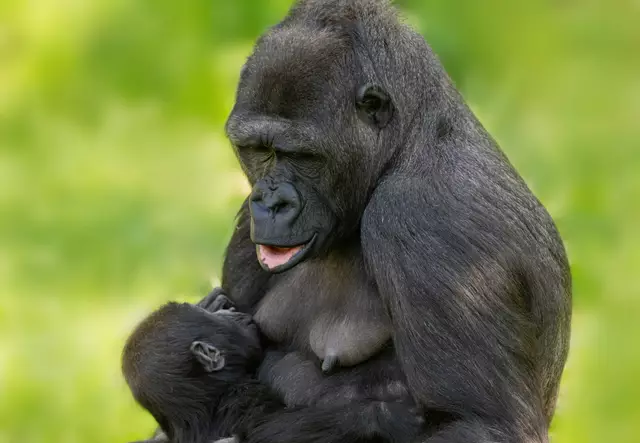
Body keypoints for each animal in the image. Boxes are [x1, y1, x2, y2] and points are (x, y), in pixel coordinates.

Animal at [205, 0, 573, 442]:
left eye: (302, 156)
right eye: (257, 150)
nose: (270, 203)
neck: (411, 140)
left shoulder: (420, 215)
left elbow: (480, 425)